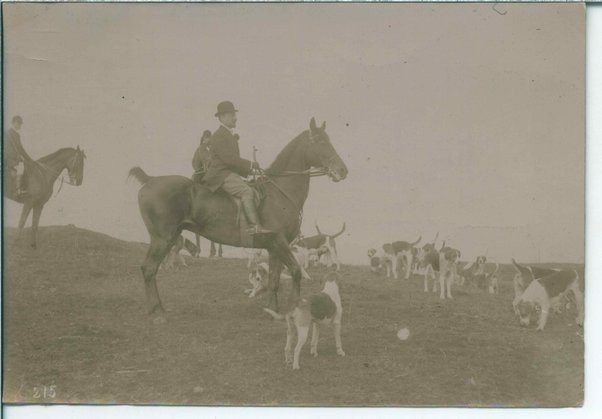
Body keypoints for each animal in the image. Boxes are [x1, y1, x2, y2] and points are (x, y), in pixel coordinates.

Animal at [131, 118, 346, 324]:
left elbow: (274, 279)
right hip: (162, 238)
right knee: (149, 269)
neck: (279, 192)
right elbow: (295, 271)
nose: (343, 170)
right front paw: (293, 309)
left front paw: (272, 310)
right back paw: (158, 313)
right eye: (320, 141)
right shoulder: (280, 242)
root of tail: (150, 180)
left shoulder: (274, 247)